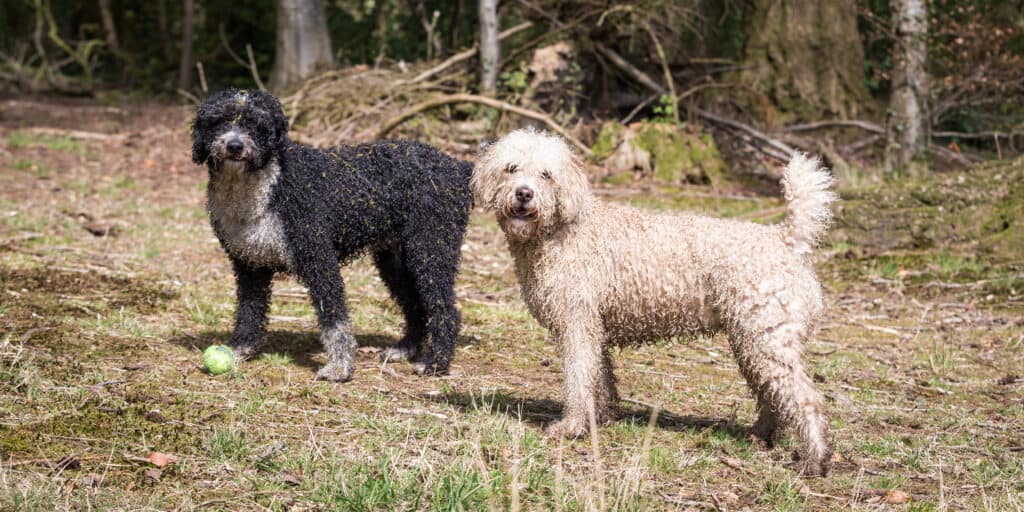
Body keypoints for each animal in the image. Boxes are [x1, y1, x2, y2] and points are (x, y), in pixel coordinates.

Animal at [191, 88, 471, 380]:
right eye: (219, 120)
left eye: (255, 123)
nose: (235, 146)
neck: (266, 183)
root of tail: (457, 167)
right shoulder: (249, 265)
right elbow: (249, 312)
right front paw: (240, 348)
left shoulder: (318, 259)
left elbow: (334, 318)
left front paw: (340, 366)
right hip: (396, 261)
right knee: (415, 307)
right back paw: (404, 349)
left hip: (431, 251)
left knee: (445, 311)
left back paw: (435, 363)